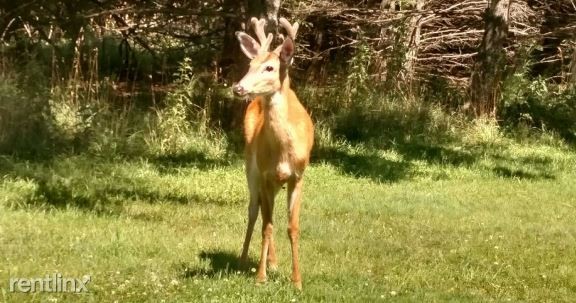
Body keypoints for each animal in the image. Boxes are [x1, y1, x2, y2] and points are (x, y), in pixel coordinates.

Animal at [233, 16, 316, 290]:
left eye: (270, 67)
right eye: (250, 64)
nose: (238, 88)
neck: (283, 152)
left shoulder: (298, 177)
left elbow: (292, 227)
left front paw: (297, 280)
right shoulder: (266, 175)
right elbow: (267, 227)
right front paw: (260, 277)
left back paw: (274, 262)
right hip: (251, 169)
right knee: (253, 212)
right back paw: (244, 259)